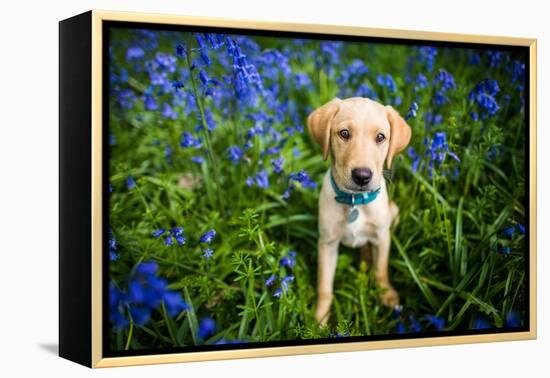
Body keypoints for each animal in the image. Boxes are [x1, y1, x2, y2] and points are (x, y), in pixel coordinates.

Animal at [308, 96, 412, 324]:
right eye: (344, 133)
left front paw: (387, 295)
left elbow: (381, 269)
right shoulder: (327, 243)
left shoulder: (382, 237)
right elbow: (324, 286)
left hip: (394, 212)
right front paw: (320, 319)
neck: (355, 201)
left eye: (380, 137)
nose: (362, 176)